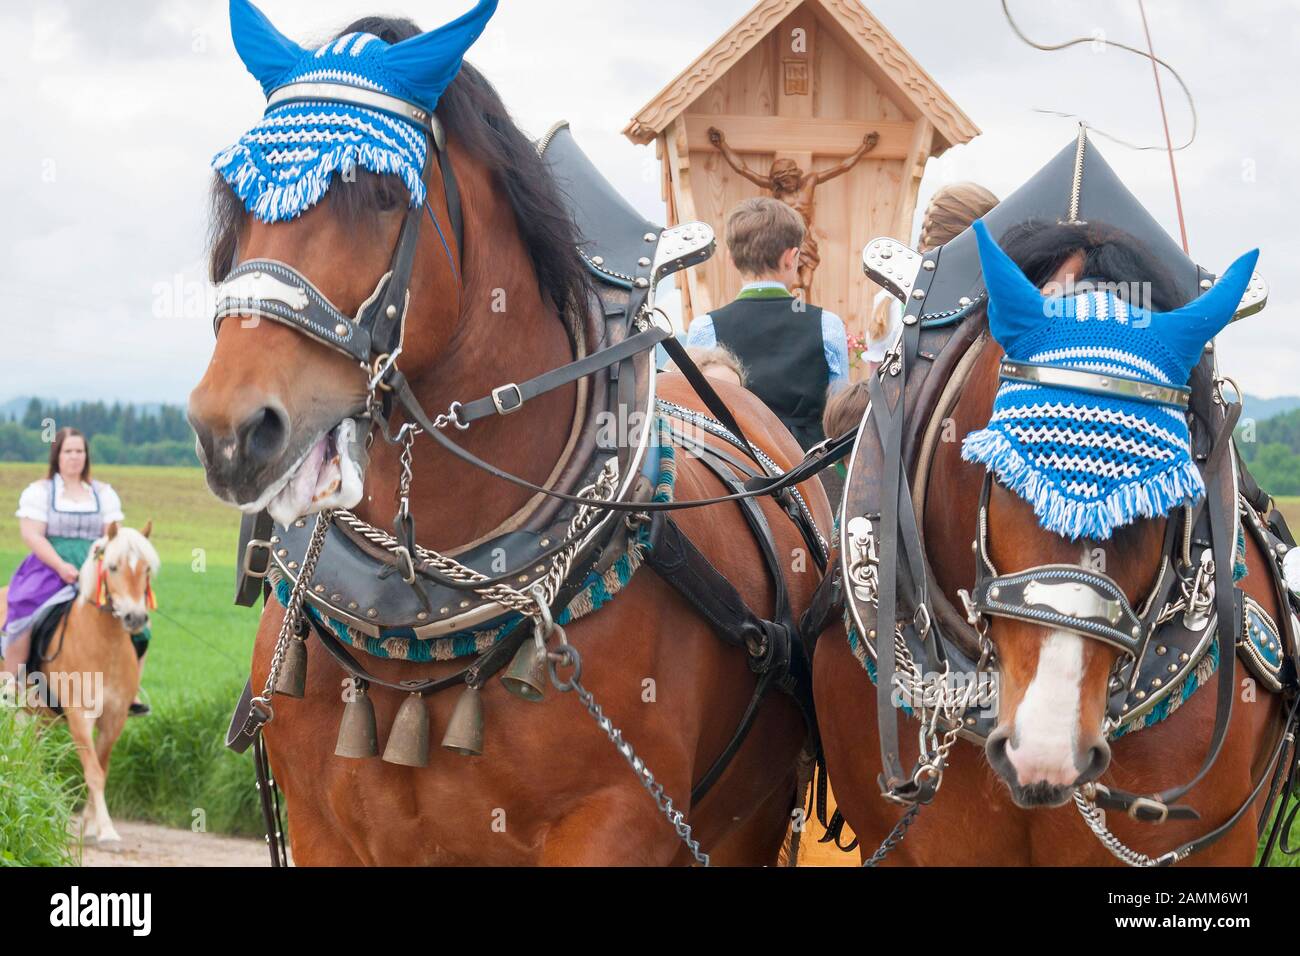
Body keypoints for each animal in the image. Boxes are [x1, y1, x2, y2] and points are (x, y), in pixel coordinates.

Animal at [1, 522, 158, 853]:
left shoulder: (114, 719)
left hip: (38, 716)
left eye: (147, 568)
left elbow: (101, 768)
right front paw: (107, 830)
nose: (135, 617)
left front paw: (90, 826)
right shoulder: (79, 716)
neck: (104, 645)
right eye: (112, 567)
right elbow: (94, 772)